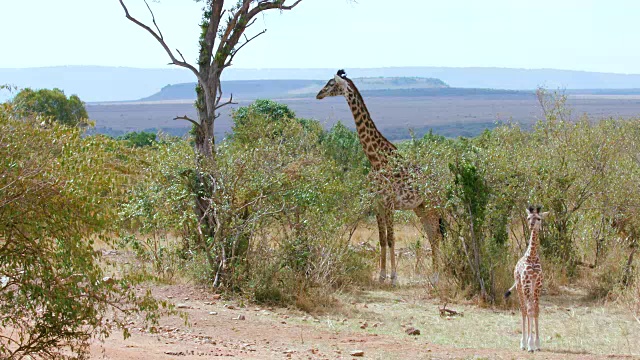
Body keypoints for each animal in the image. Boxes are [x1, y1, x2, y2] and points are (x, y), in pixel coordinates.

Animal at [314, 69, 440, 284]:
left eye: (331, 84)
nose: (318, 94)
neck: (376, 159)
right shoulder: (378, 203)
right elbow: (381, 240)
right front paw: (381, 275)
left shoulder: (389, 203)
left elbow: (391, 239)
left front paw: (394, 277)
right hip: (420, 207)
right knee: (433, 235)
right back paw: (433, 275)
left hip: (433, 205)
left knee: (438, 235)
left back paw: (439, 275)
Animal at [508, 205, 548, 352]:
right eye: (528, 217)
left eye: (539, 218)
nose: (531, 225)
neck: (532, 256)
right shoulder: (526, 283)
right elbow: (530, 310)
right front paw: (530, 344)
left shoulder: (538, 284)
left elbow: (536, 310)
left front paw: (538, 344)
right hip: (520, 287)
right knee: (524, 310)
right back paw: (523, 343)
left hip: (529, 289)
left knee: (528, 308)